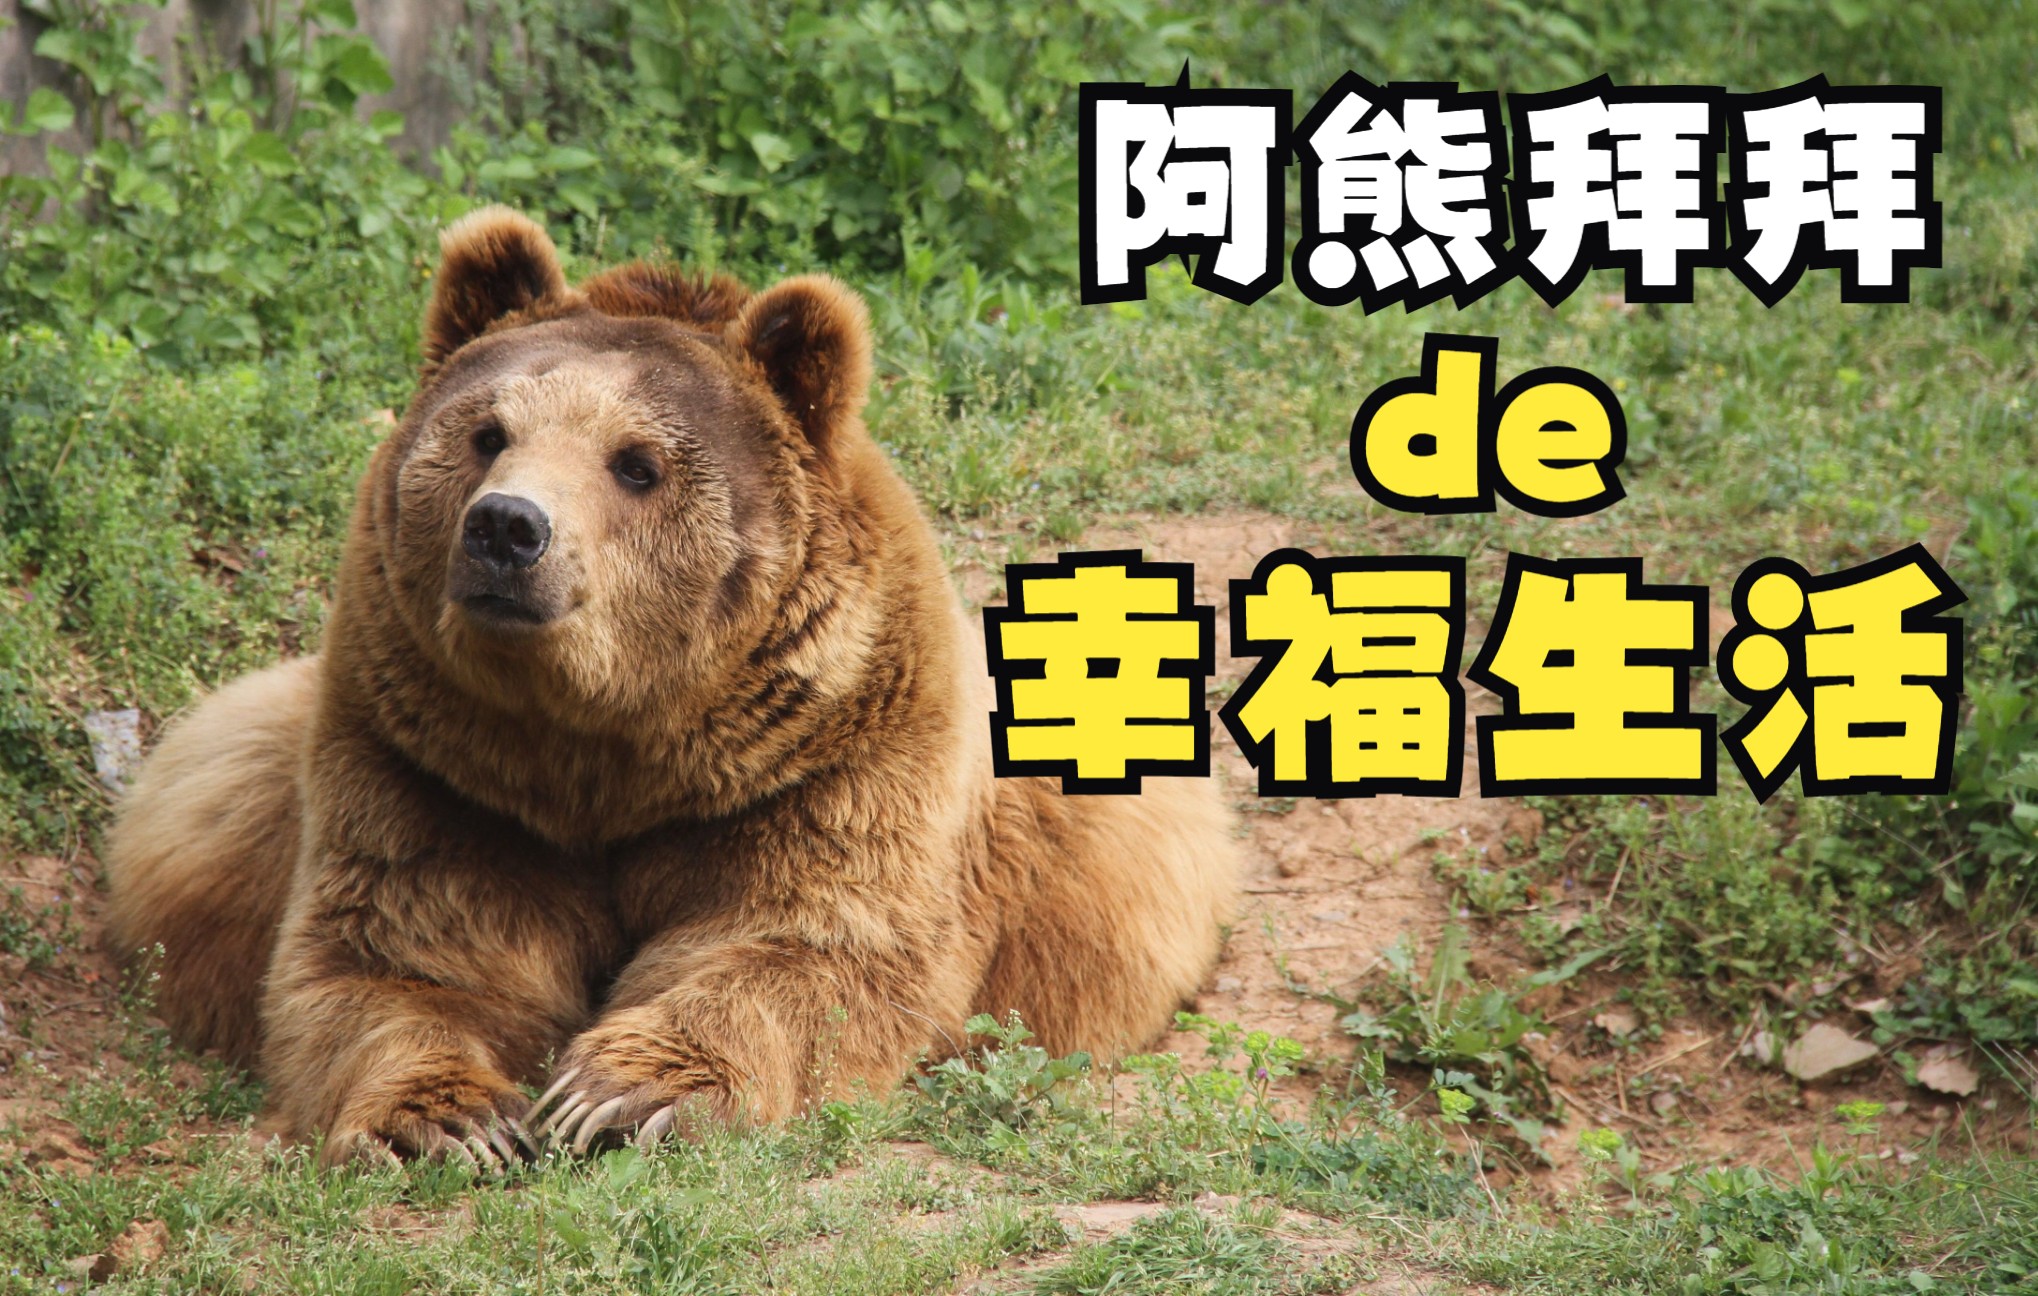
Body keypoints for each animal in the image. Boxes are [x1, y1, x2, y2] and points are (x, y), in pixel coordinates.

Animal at [104, 207, 1238, 1165]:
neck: (615, 747)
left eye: (635, 462)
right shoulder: (436, 769)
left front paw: (619, 1093)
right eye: (486, 433)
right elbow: (403, 956)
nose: (506, 527)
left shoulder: (827, 765)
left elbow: (802, 946)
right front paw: (453, 1118)